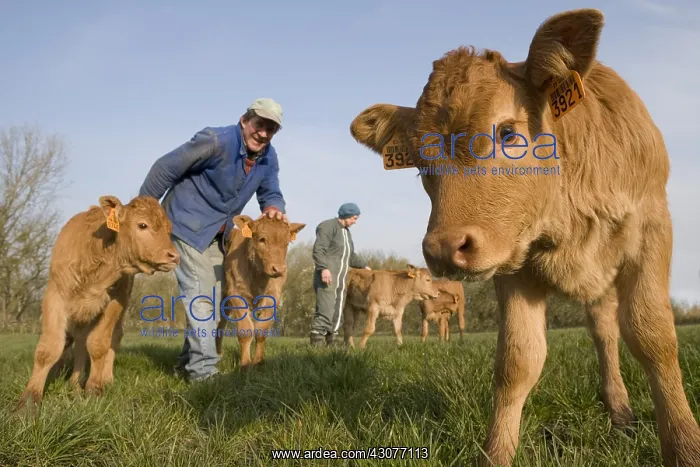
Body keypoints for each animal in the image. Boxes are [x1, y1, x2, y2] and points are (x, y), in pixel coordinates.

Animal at [16, 195, 180, 409]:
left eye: (169, 230)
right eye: (143, 225)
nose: (174, 256)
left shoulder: (114, 302)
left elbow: (98, 344)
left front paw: (94, 388)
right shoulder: (55, 296)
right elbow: (49, 348)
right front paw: (29, 400)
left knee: (112, 337)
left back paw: (104, 379)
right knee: (78, 341)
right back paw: (73, 383)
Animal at [216, 214, 305, 369]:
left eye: (287, 242)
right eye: (262, 239)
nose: (279, 269)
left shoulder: (273, 295)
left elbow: (261, 330)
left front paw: (257, 362)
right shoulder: (236, 293)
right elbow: (245, 330)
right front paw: (245, 364)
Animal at [348, 8, 700, 466]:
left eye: (508, 134)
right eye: (421, 162)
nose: (443, 249)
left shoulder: (652, 229)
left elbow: (653, 337)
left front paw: (685, 445)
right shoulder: (510, 266)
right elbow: (518, 361)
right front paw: (496, 454)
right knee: (603, 329)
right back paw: (618, 408)